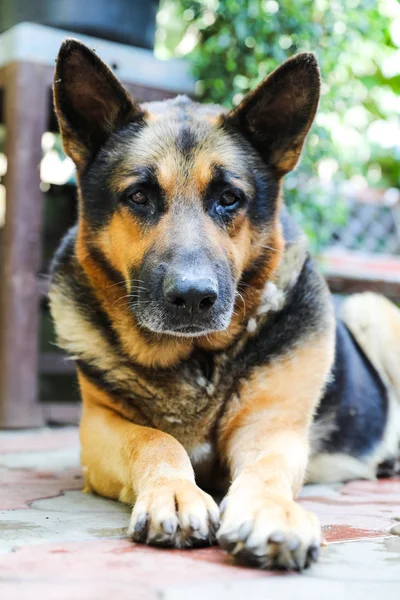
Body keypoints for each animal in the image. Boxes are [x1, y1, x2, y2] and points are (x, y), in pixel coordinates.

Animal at [49, 39, 400, 568]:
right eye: (139, 196)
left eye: (229, 198)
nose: (194, 298)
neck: (195, 360)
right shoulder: (99, 427)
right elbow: (155, 439)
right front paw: (175, 492)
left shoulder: (271, 427)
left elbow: (267, 469)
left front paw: (270, 510)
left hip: (371, 308)